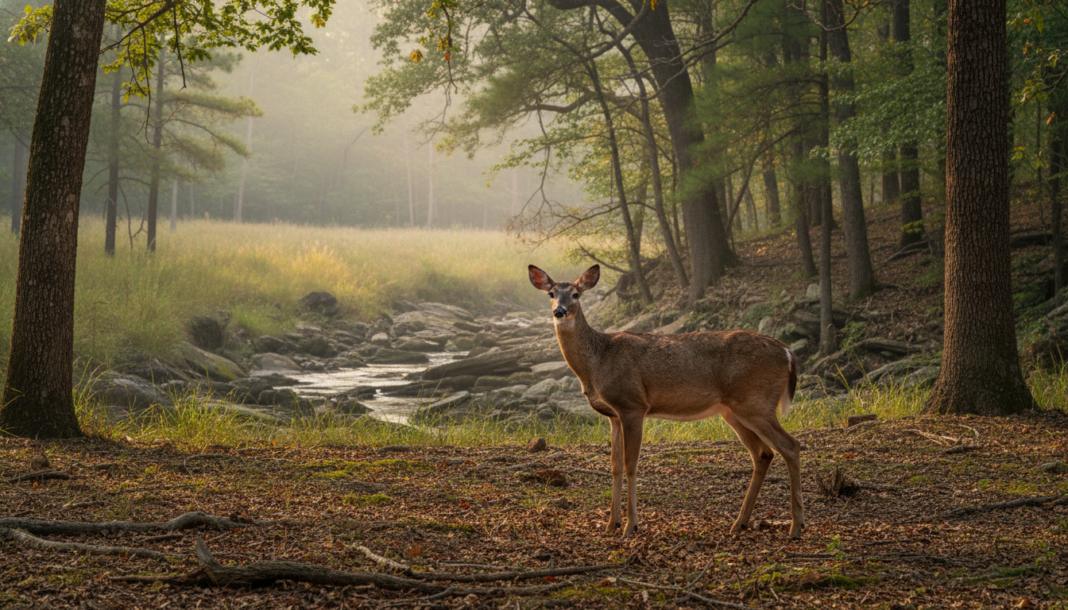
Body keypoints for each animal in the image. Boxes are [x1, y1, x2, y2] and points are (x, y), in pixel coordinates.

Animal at [528, 264, 804, 538]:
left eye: (576, 294)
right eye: (551, 293)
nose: (560, 311)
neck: (597, 362)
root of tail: (788, 352)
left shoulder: (633, 404)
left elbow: (630, 464)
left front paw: (630, 525)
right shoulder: (613, 416)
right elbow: (615, 465)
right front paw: (611, 523)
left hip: (756, 402)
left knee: (791, 445)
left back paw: (796, 526)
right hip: (733, 410)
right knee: (763, 453)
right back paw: (740, 523)